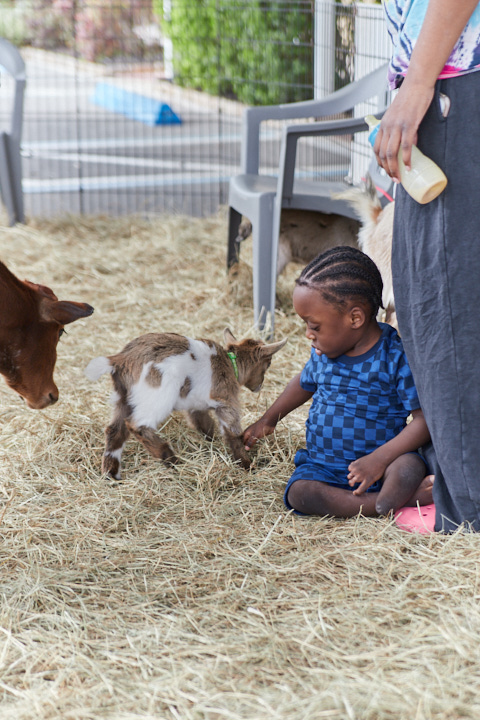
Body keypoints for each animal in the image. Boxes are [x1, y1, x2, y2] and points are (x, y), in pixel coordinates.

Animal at [85, 328, 287, 479]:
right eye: (268, 363)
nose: (259, 386)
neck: (230, 363)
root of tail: (121, 359)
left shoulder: (196, 406)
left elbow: (204, 425)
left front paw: (212, 444)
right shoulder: (226, 402)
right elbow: (232, 433)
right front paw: (247, 465)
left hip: (123, 397)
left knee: (114, 430)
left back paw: (111, 475)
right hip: (156, 396)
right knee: (138, 425)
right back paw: (170, 458)